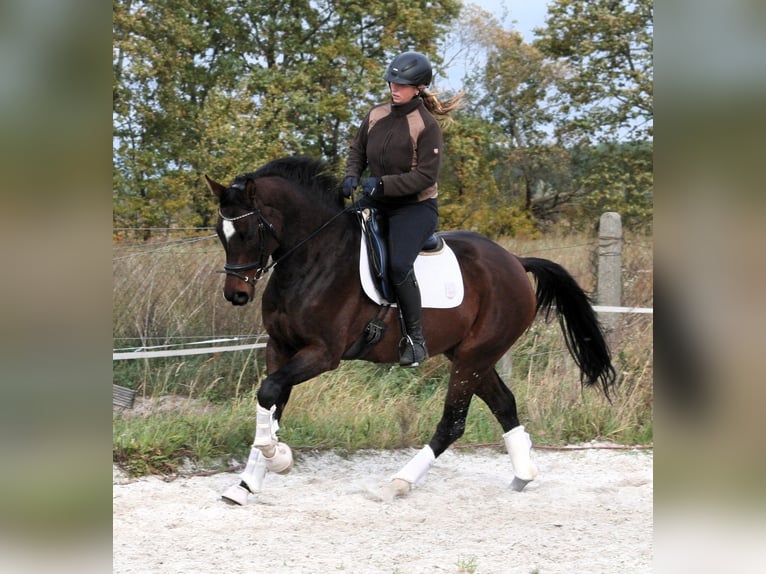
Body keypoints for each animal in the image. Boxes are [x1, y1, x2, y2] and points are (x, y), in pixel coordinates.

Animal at [205, 155, 616, 505]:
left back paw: (398, 483)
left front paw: (277, 456)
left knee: (453, 423)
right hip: (471, 356)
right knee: (504, 404)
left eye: (247, 231)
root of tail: (515, 261)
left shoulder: (322, 354)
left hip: (473, 357)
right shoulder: (280, 346)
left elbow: (269, 392)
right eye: (220, 232)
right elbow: (272, 400)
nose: (236, 294)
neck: (313, 259)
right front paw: (246, 484)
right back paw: (524, 474)